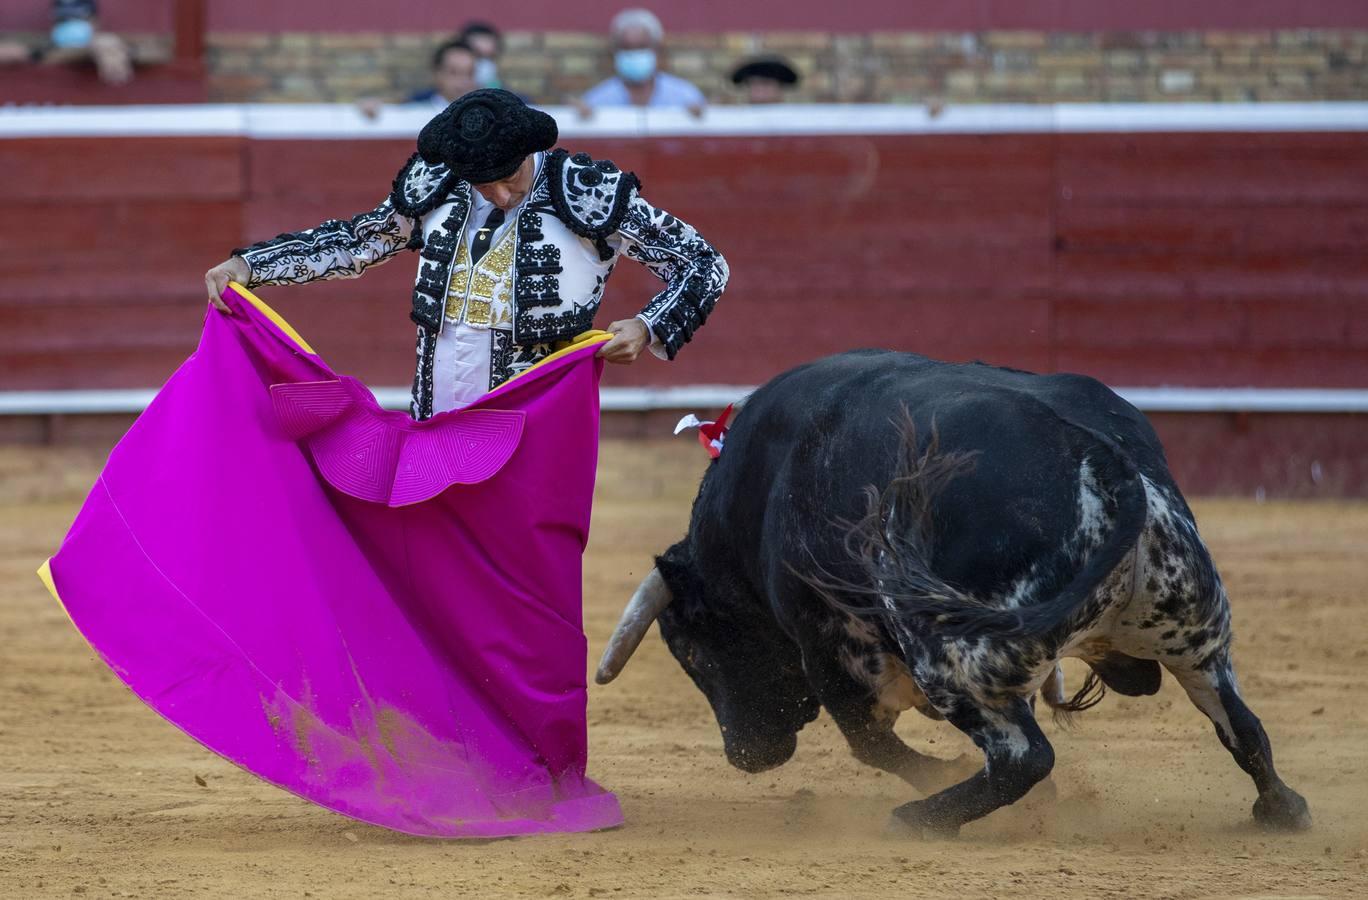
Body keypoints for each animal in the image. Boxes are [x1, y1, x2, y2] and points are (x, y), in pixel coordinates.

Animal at [593, 348, 1307, 831]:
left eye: (692, 651)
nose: (747, 755)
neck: (758, 493)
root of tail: (1106, 462)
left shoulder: (825, 643)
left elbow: (869, 741)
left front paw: (934, 778)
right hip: (1194, 630)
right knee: (1242, 725)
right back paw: (1281, 809)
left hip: (952, 656)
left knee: (1023, 757)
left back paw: (919, 819)